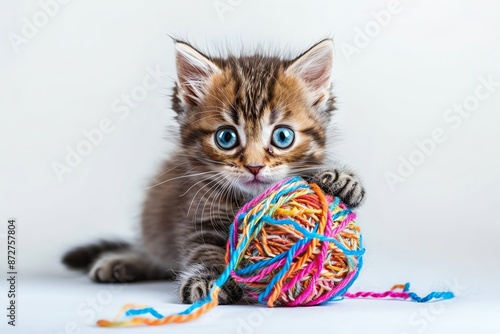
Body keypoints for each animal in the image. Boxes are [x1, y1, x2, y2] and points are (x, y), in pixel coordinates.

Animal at [63, 39, 368, 306]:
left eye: (283, 136)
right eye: (226, 138)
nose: (254, 167)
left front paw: (341, 180)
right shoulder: (198, 215)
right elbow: (205, 251)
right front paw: (209, 281)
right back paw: (122, 262)